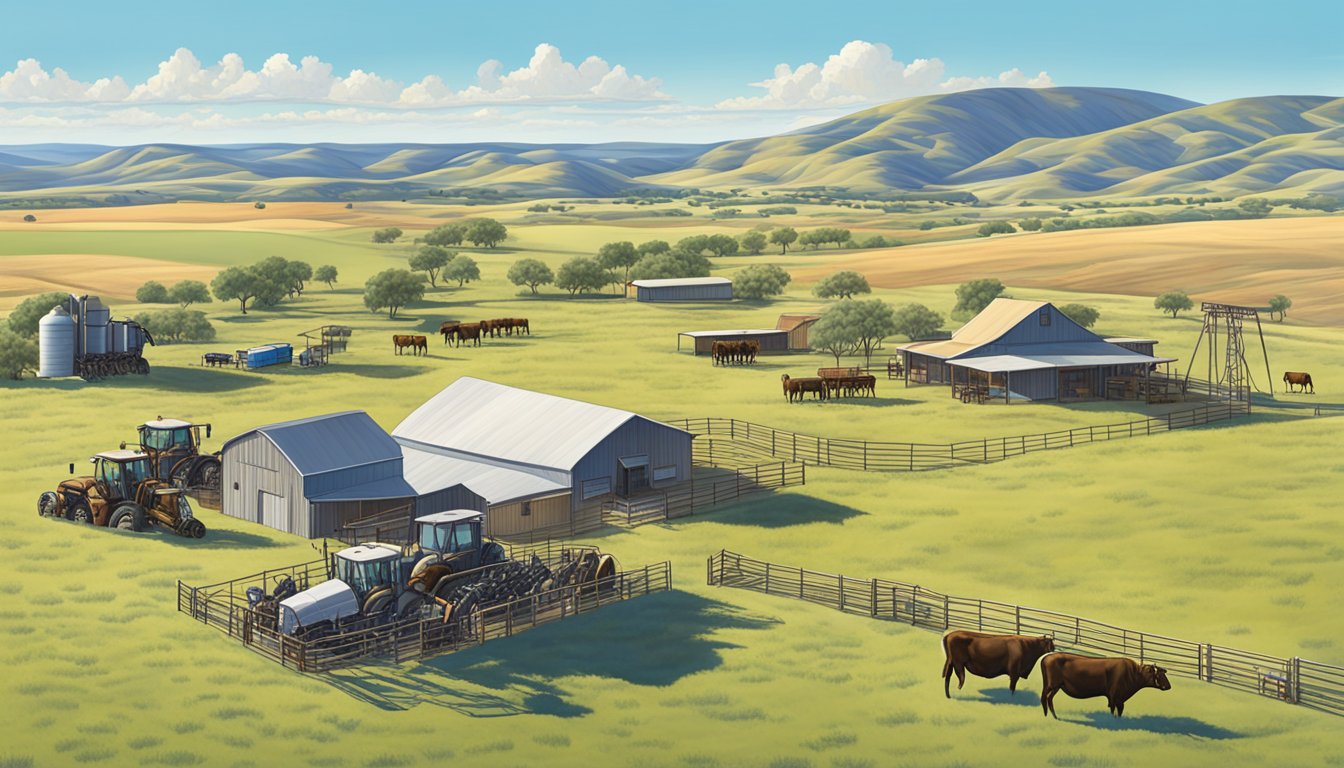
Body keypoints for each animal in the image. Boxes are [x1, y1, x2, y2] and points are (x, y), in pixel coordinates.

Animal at [1032, 656, 1171, 720]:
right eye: (1159, 674)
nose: (1168, 686)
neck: (1134, 673)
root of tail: (1046, 658)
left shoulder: (1118, 699)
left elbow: (1118, 711)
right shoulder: (1115, 697)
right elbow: (1115, 710)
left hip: (1056, 687)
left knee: (1049, 699)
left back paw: (1055, 716)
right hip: (1051, 685)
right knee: (1044, 698)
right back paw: (1048, 716)